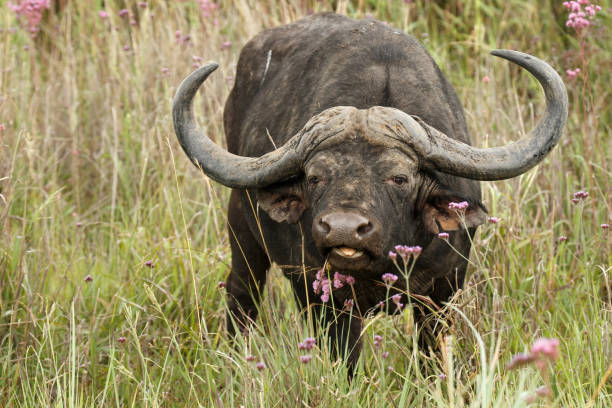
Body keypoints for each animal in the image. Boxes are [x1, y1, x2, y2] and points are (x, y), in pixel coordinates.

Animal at [171, 11, 564, 370]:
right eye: (315, 177)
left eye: (399, 178)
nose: (343, 229)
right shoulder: (325, 298)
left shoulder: (444, 290)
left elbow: (432, 356)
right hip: (241, 225)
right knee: (242, 294)